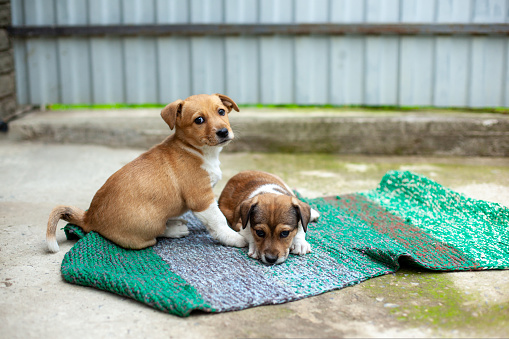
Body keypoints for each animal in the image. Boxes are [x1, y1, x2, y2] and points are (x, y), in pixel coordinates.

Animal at [44, 93, 247, 252]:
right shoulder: (201, 199)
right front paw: (235, 238)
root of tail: (89, 217)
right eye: (199, 120)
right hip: (148, 222)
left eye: (221, 111)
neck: (196, 150)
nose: (223, 132)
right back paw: (175, 229)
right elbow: (219, 220)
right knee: (155, 235)